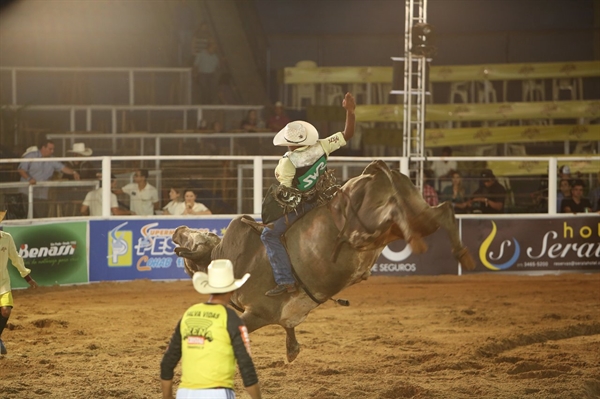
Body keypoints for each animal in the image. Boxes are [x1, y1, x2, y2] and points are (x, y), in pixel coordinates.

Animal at [172, 159, 474, 362]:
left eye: (197, 238)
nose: (178, 229)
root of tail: (371, 171)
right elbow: (289, 328)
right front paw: (292, 349)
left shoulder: (257, 313)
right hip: (416, 214)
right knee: (443, 211)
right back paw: (463, 255)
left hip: (365, 228)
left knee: (392, 213)